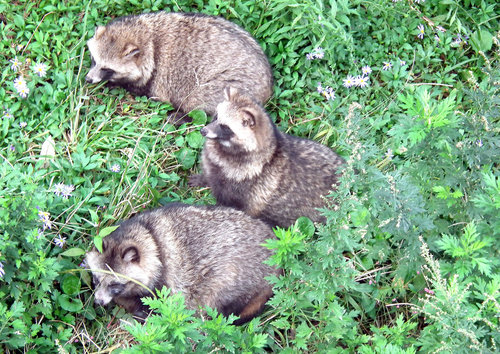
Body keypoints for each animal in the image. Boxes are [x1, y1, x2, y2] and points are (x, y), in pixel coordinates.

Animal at [86, 12, 274, 120]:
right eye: (94, 60)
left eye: (107, 69)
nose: (88, 79)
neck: (148, 39)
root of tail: (267, 88)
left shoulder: (157, 79)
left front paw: (115, 83)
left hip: (229, 86)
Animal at [86, 205, 282, 324]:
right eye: (96, 280)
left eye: (115, 284)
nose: (98, 301)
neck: (150, 237)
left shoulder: (164, 281)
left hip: (234, 277)